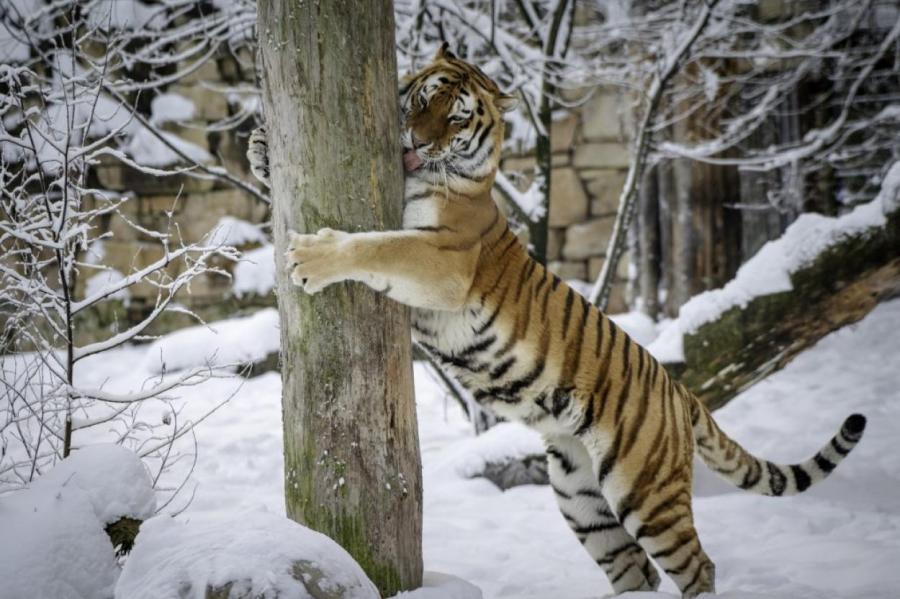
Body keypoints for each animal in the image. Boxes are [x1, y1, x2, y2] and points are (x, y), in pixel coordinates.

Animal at [246, 44, 864, 596]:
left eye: (456, 116)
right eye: (420, 99)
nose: (417, 140)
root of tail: (679, 389)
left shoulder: (444, 260)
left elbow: (377, 245)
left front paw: (312, 257)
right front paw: (259, 147)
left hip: (645, 490)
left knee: (697, 567)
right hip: (580, 494)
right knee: (634, 570)